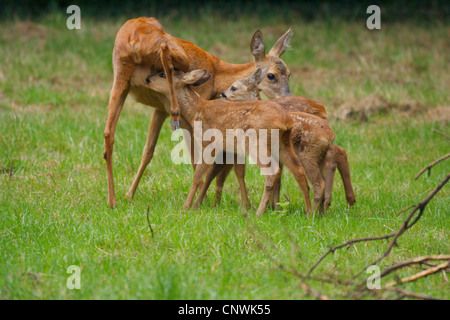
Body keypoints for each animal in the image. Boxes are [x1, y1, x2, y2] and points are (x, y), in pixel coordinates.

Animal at [105, 17, 296, 208]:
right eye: (271, 75)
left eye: (289, 73)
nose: (288, 97)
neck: (218, 76)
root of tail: (134, 40)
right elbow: (204, 160)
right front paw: (204, 200)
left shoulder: (160, 109)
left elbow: (148, 150)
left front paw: (129, 195)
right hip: (172, 60)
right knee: (165, 51)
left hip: (120, 78)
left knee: (108, 135)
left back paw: (112, 200)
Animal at [146, 44, 312, 215]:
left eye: (162, 74)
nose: (147, 79)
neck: (197, 110)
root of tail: (286, 121)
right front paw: (197, 204)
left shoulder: (208, 143)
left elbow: (198, 176)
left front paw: (186, 207)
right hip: (283, 144)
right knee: (299, 170)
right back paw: (309, 212)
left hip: (257, 144)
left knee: (273, 171)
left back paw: (259, 212)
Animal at [217, 68, 356, 212]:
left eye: (234, 87)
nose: (222, 94)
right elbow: (278, 176)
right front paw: (275, 207)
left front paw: (272, 207)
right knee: (338, 152)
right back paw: (339, 203)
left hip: (305, 153)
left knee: (330, 161)